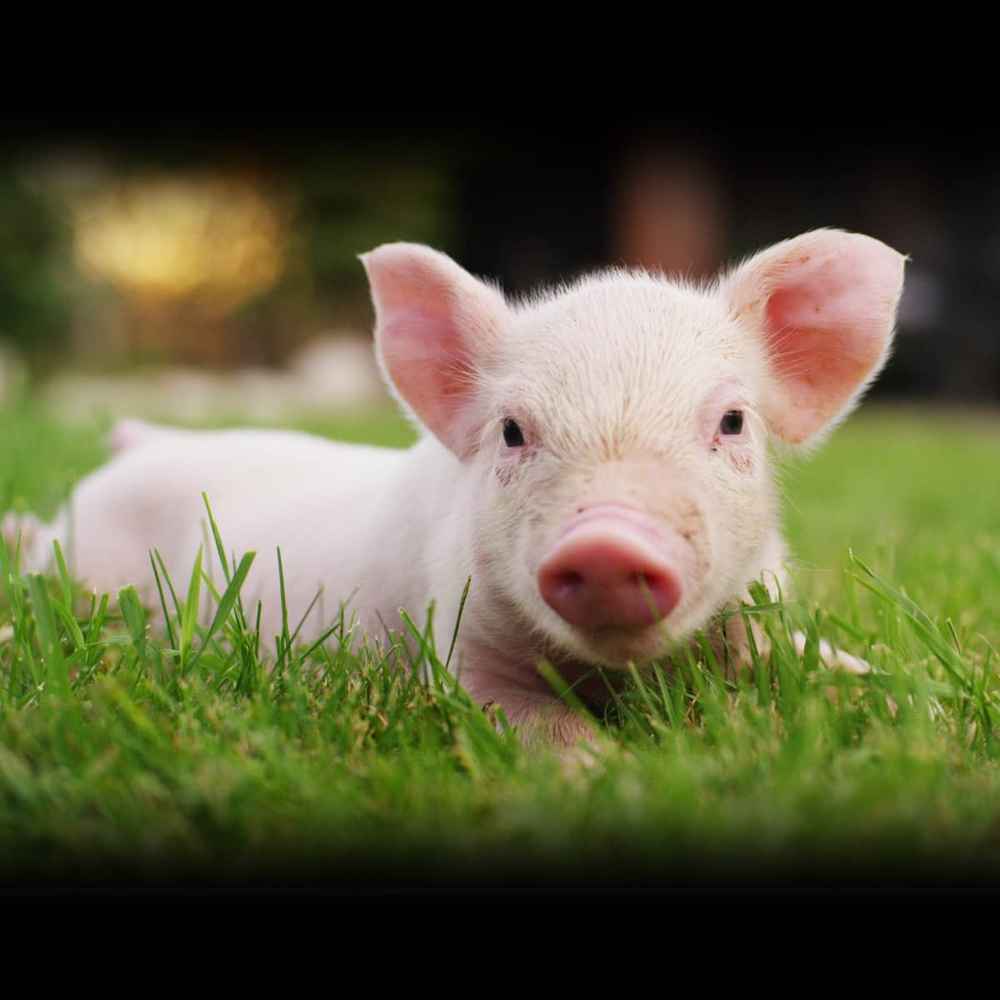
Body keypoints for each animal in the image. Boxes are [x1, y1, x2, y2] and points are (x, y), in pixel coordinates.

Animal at [3, 229, 905, 745]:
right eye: (511, 431)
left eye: (732, 422)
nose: (608, 540)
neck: (615, 675)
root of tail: (143, 441)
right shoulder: (458, 641)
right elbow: (536, 725)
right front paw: (609, 774)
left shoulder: (756, 612)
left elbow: (822, 664)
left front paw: (897, 703)